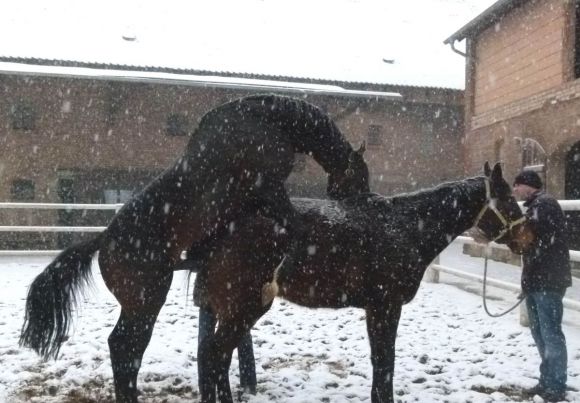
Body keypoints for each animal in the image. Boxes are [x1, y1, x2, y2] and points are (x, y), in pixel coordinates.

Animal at [20, 94, 370, 403]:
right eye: (361, 176)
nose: (364, 203)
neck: (263, 120)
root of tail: (104, 240)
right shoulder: (269, 188)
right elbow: (295, 223)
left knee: (126, 350)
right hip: (146, 303)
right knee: (124, 348)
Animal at [190, 162, 536, 403]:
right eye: (508, 199)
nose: (528, 238)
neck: (406, 226)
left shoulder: (376, 308)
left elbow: (379, 360)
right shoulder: (386, 306)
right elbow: (385, 361)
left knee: (217, 356)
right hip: (242, 307)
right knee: (213, 354)